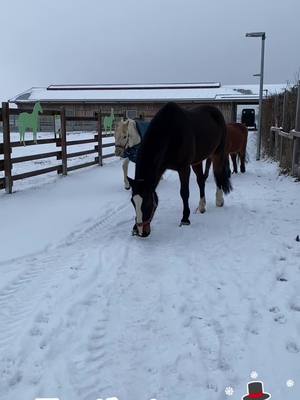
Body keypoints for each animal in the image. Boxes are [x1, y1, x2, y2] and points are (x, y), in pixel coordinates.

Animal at [126, 101, 232, 236]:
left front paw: (185, 219)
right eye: (132, 202)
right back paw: (202, 206)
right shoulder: (162, 168)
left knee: (218, 175)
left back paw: (219, 200)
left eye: (148, 202)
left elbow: (184, 193)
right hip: (197, 161)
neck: (170, 133)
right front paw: (134, 227)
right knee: (201, 180)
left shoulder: (184, 168)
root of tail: (216, 112)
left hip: (217, 153)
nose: (141, 232)